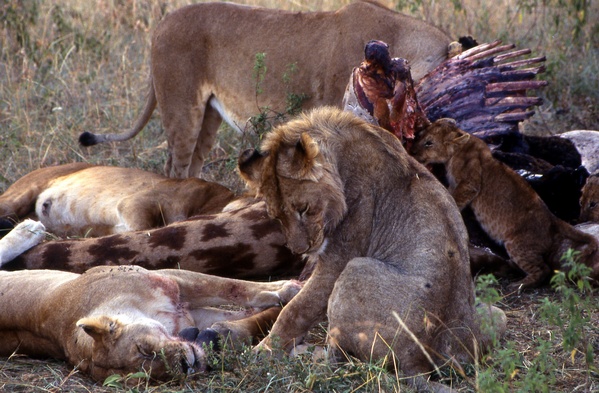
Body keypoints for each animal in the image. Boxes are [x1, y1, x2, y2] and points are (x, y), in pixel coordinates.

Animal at [239, 107, 506, 392]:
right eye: (276, 217)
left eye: (304, 209)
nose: (301, 249)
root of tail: (418, 366)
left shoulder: (339, 258)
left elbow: (297, 309)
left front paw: (264, 351)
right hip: (494, 315)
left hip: (357, 267)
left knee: (338, 359)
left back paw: (312, 355)